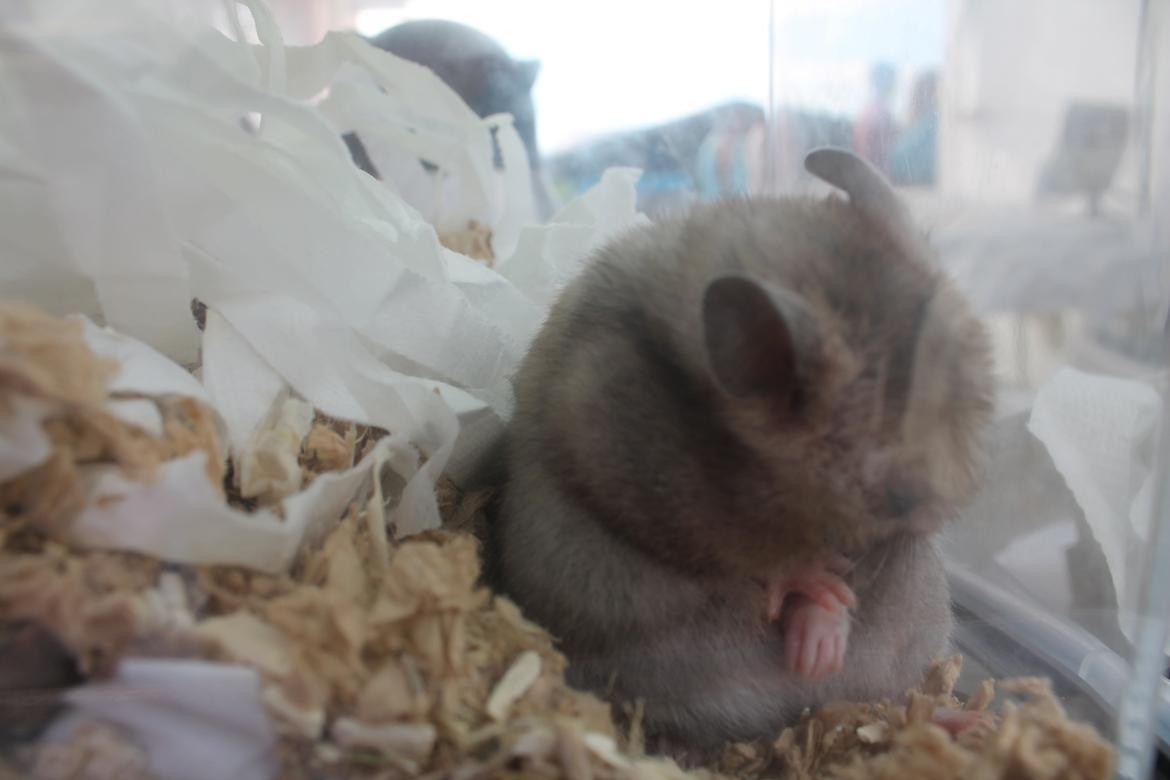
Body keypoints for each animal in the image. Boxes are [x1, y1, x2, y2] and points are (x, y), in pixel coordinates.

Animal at [491, 147, 994, 753]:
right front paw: (812, 598)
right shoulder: (630, 460)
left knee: (895, 700)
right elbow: (738, 561)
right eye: (898, 496)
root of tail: (804, 703)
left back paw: (945, 716)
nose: (930, 525)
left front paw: (821, 631)